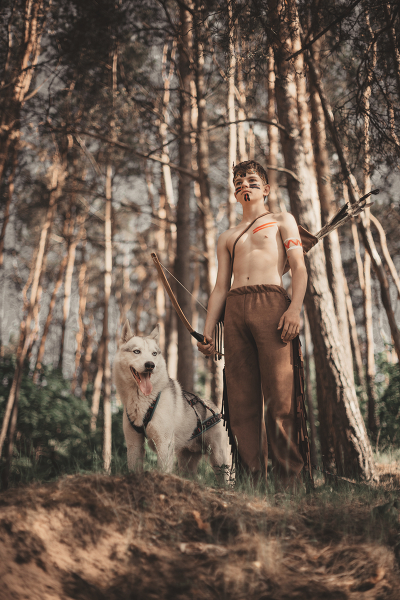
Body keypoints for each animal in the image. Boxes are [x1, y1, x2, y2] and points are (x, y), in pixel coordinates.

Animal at [113, 320, 230, 478]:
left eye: (154, 354)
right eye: (136, 351)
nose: (150, 365)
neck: (143, 401)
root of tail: (216, 408)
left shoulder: (164, 443)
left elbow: (163, 469)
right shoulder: (134, 444)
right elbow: (134, 469)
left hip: (218, 459)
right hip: (187, 464)